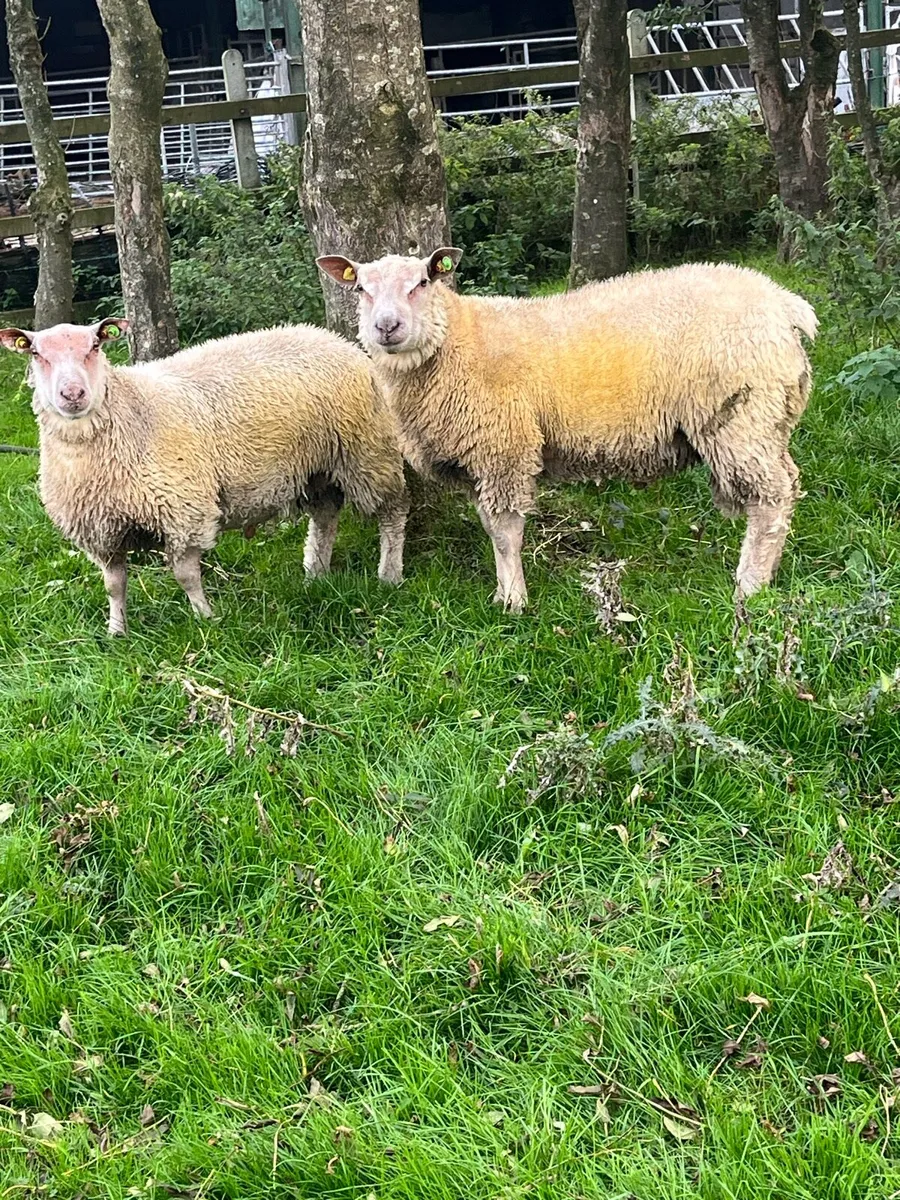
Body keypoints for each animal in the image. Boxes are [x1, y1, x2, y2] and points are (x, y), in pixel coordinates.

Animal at [0, 319, 408, 634]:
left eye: (95, 346)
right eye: (35, 353)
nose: (73, 394)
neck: (130, 412)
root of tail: (331, 337)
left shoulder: (183, 511)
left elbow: (186, 576)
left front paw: (206, 618)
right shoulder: (103, 530)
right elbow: (114, 585)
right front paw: (116, 631)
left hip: (368, 451)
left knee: (393, 512)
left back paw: (389, 574)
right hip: (317, 467)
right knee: (324, 517)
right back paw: (315, 574)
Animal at [317, 249, 817, 612]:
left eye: (421, 282)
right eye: (360, 288)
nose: (386, 327)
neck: (457, 341)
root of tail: (784, 304)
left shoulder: (505, 446)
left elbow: (504, 531)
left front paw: (514, 603)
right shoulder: (483, 459)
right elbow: (488, 525)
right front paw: (501, 593)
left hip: (742, 417)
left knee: (772, 498)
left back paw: (749, 588)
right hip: (762, 420)